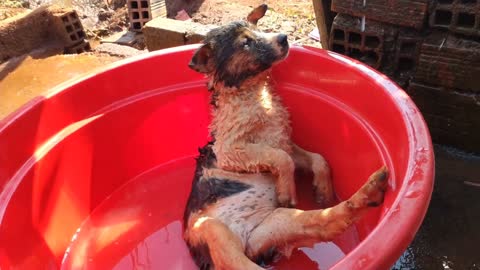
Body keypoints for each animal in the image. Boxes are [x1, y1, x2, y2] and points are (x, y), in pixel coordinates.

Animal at [182, 4, 388, 270]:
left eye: (258, 29)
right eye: (245, 43)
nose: (283, 38)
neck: (255, 92)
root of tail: (249, 243)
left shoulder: (283, 141)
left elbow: (316, 158)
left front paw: (323, 191)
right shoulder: (230, 150)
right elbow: (280, 158)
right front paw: (286, 191)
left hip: (276, 223)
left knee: (326, 221)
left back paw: (371, 191)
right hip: (212, 229)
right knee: (238, 263)